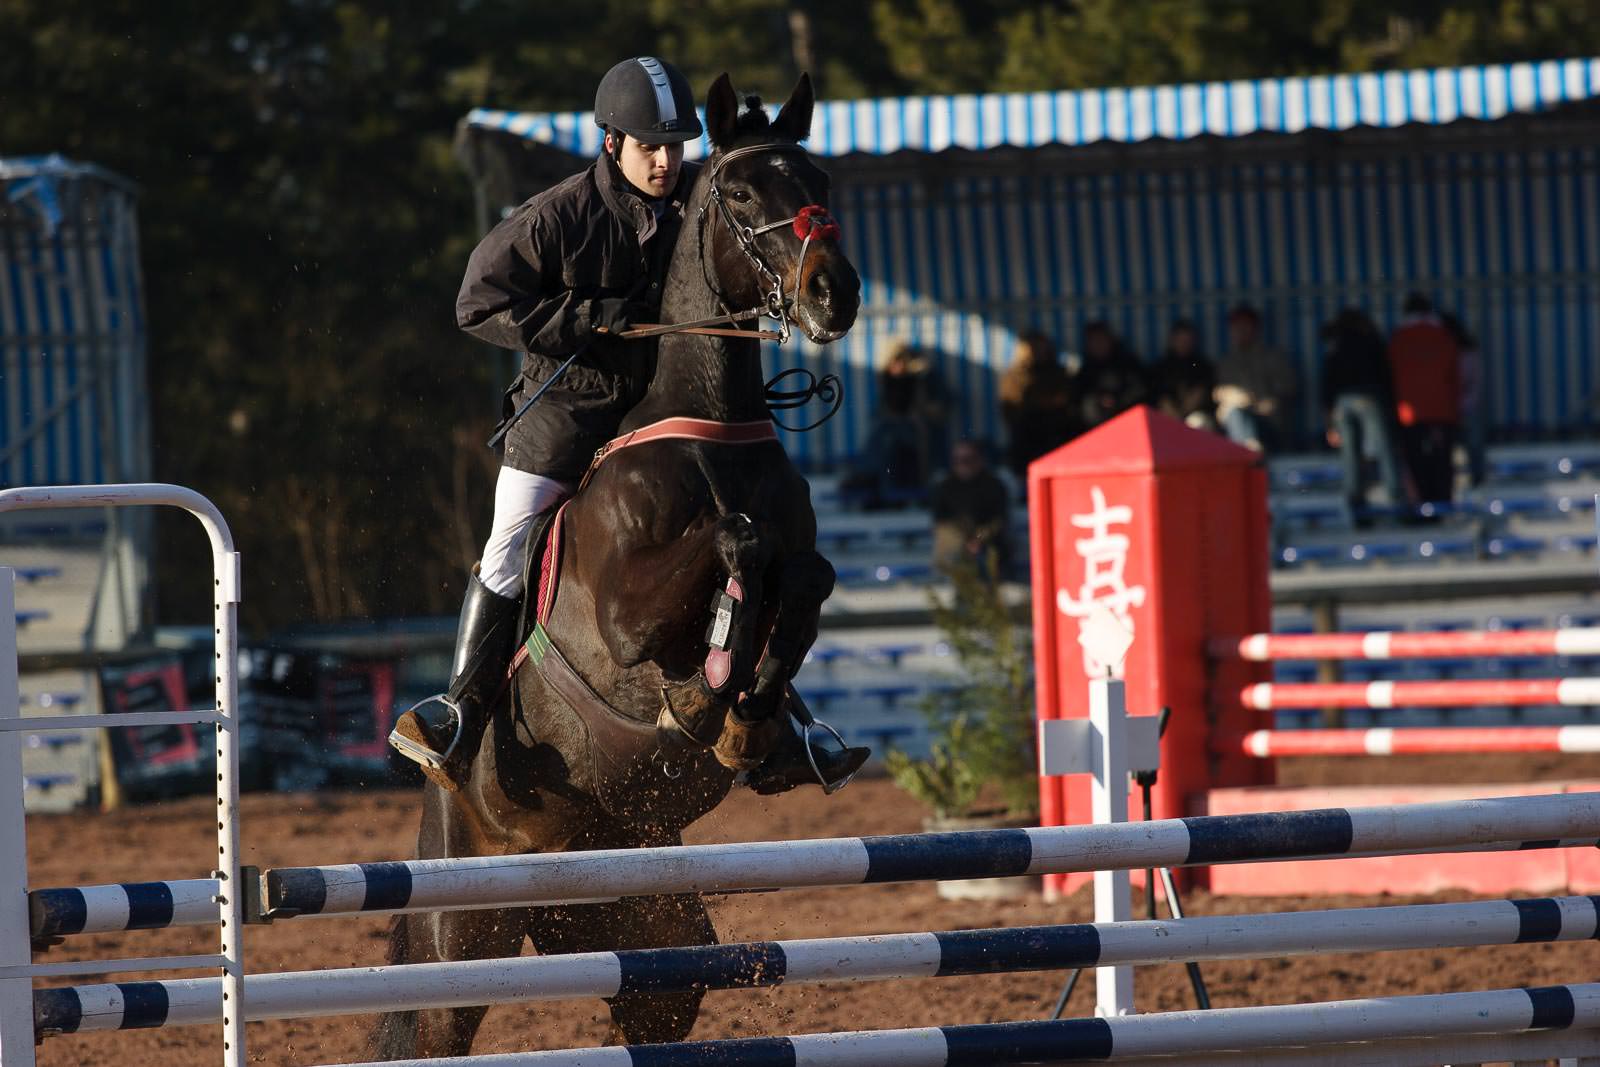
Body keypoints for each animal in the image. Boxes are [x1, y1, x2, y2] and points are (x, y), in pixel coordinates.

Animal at [369, 72, 862, 1059]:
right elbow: (736, 545)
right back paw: (442, 725)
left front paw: (749, 716)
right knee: (433, 1022)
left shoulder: (794, 562)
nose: (837, 293)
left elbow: (805, 577)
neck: (713, 433)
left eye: (821, 177)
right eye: (741, 191)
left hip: (651, 941)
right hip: (459, 939)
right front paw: (706, 694)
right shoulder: (629, 621)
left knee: (656, 999)